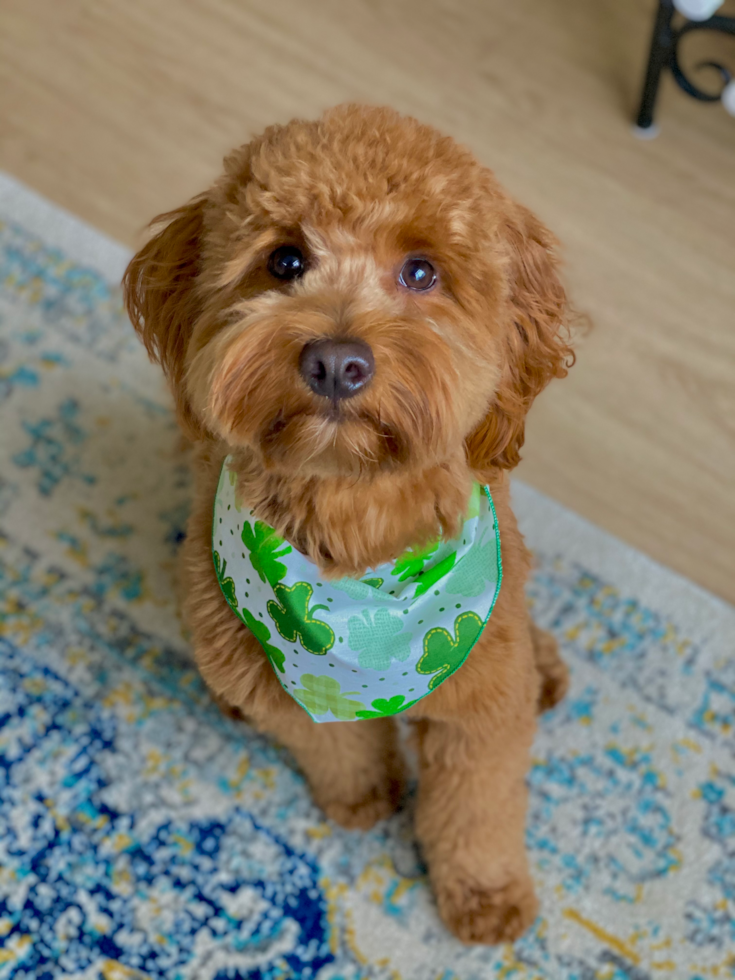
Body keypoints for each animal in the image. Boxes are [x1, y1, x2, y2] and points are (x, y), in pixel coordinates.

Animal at [123, 103, 576, 944]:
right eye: (285, 261)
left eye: (422, 272)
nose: (336, 361)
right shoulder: (290, 683)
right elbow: (334, 743)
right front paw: (363, 797)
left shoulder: (480, 707)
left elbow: (475, 810)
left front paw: (487, 895)